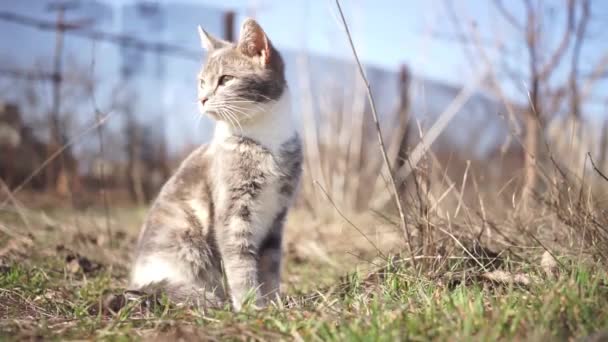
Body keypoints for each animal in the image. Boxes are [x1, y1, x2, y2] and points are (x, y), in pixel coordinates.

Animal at [131, 18, 304, 312]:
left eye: (226, 80)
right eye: (202, 82)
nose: (202, 99)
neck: (265, 138)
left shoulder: (277, 218)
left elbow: (270, 266)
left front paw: (273, 306)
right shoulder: (232, 212)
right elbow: (240, 261)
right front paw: (251, 307)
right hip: (184, 243)